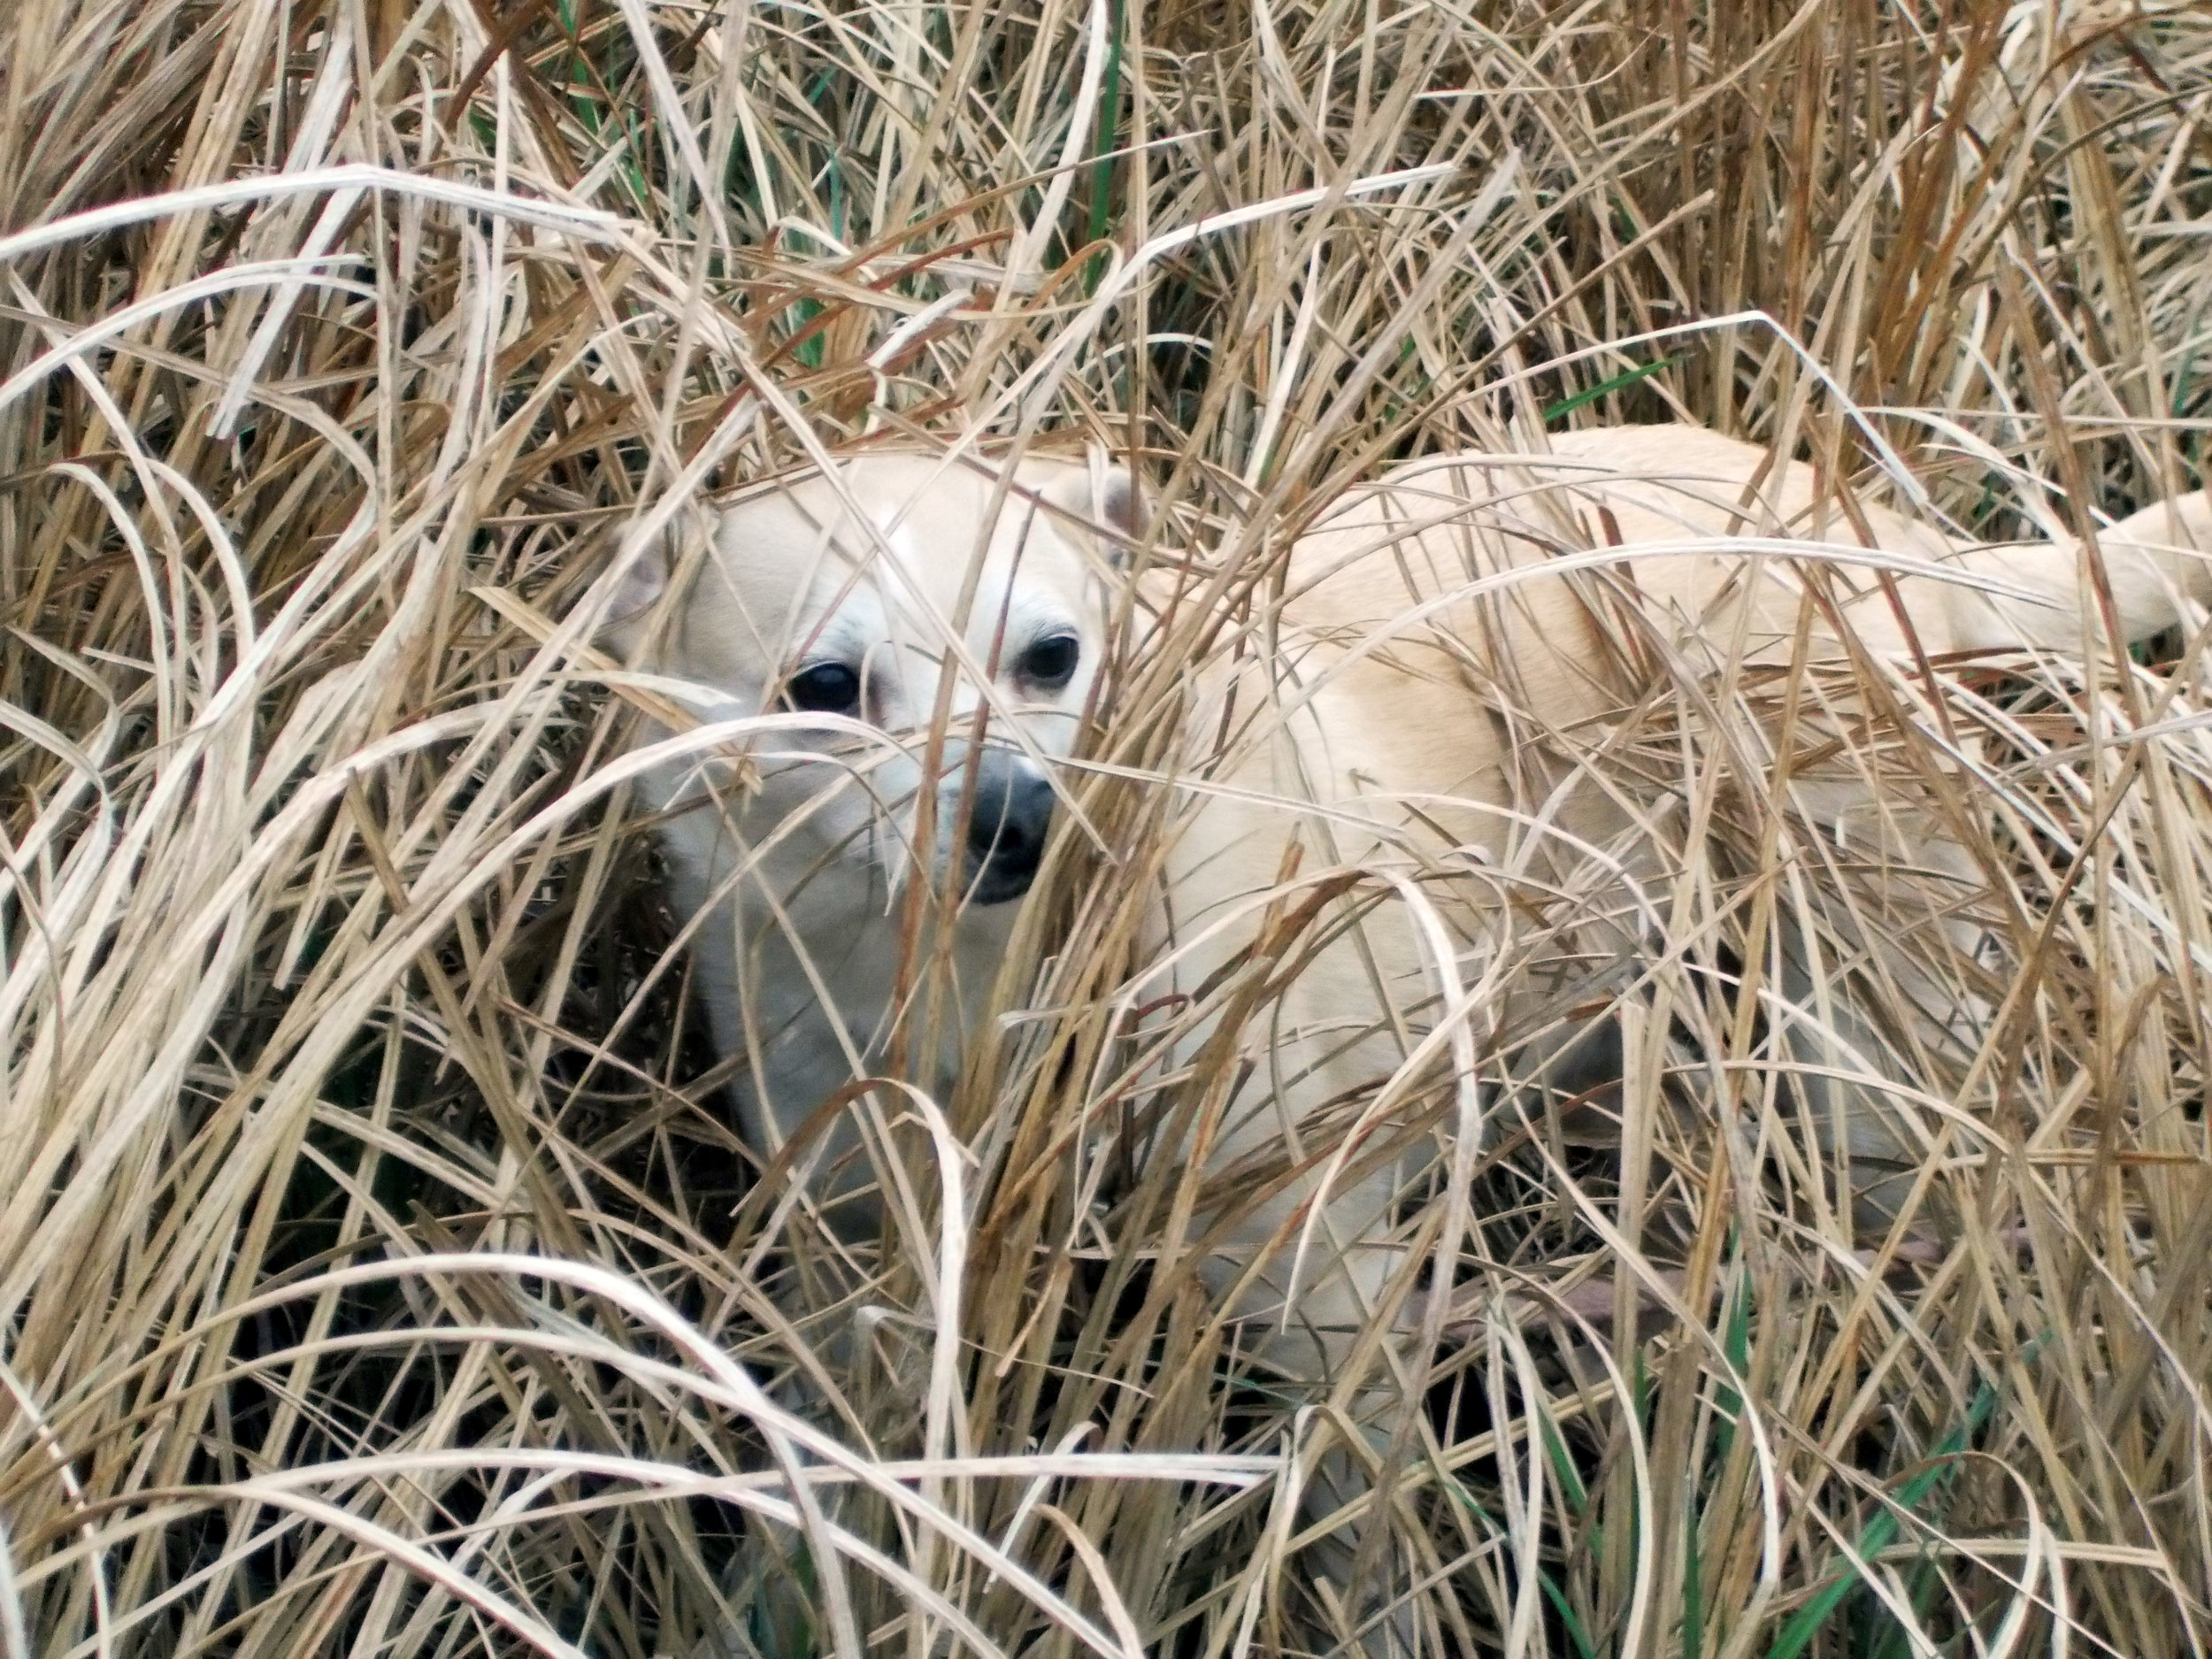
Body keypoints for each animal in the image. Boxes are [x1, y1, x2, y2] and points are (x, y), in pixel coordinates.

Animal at [606, 429, 2212, 1655]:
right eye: (827, 688)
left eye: (1051, 655)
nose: (1018, 819)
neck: (978, 983)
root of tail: (1877, 533)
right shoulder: (845, 1262)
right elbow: (814, 1479)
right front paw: (763, 1607)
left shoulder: (1331, 1301)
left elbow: (1362, 1549)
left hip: (1870, 1043)